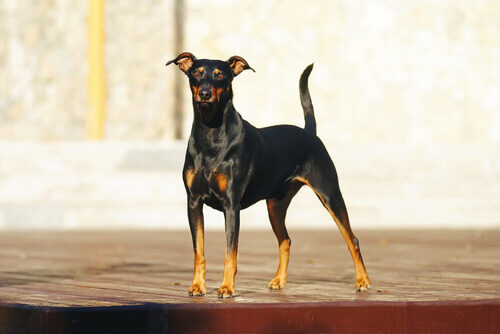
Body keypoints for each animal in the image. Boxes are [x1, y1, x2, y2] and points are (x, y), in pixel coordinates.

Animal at [166, 52, 370, 298]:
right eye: (195, 73)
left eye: (221, 75)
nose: (204, 93)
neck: (211, 133)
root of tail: (309, 133)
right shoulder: (194, 202)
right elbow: (199, 252)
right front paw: (197, 286)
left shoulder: (231, 205)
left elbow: (230, 253)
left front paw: (227, 287)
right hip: (275, 205)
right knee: (286, 240)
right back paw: (279, 280)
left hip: (329, 194)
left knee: (352, 239)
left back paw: (363, 281)